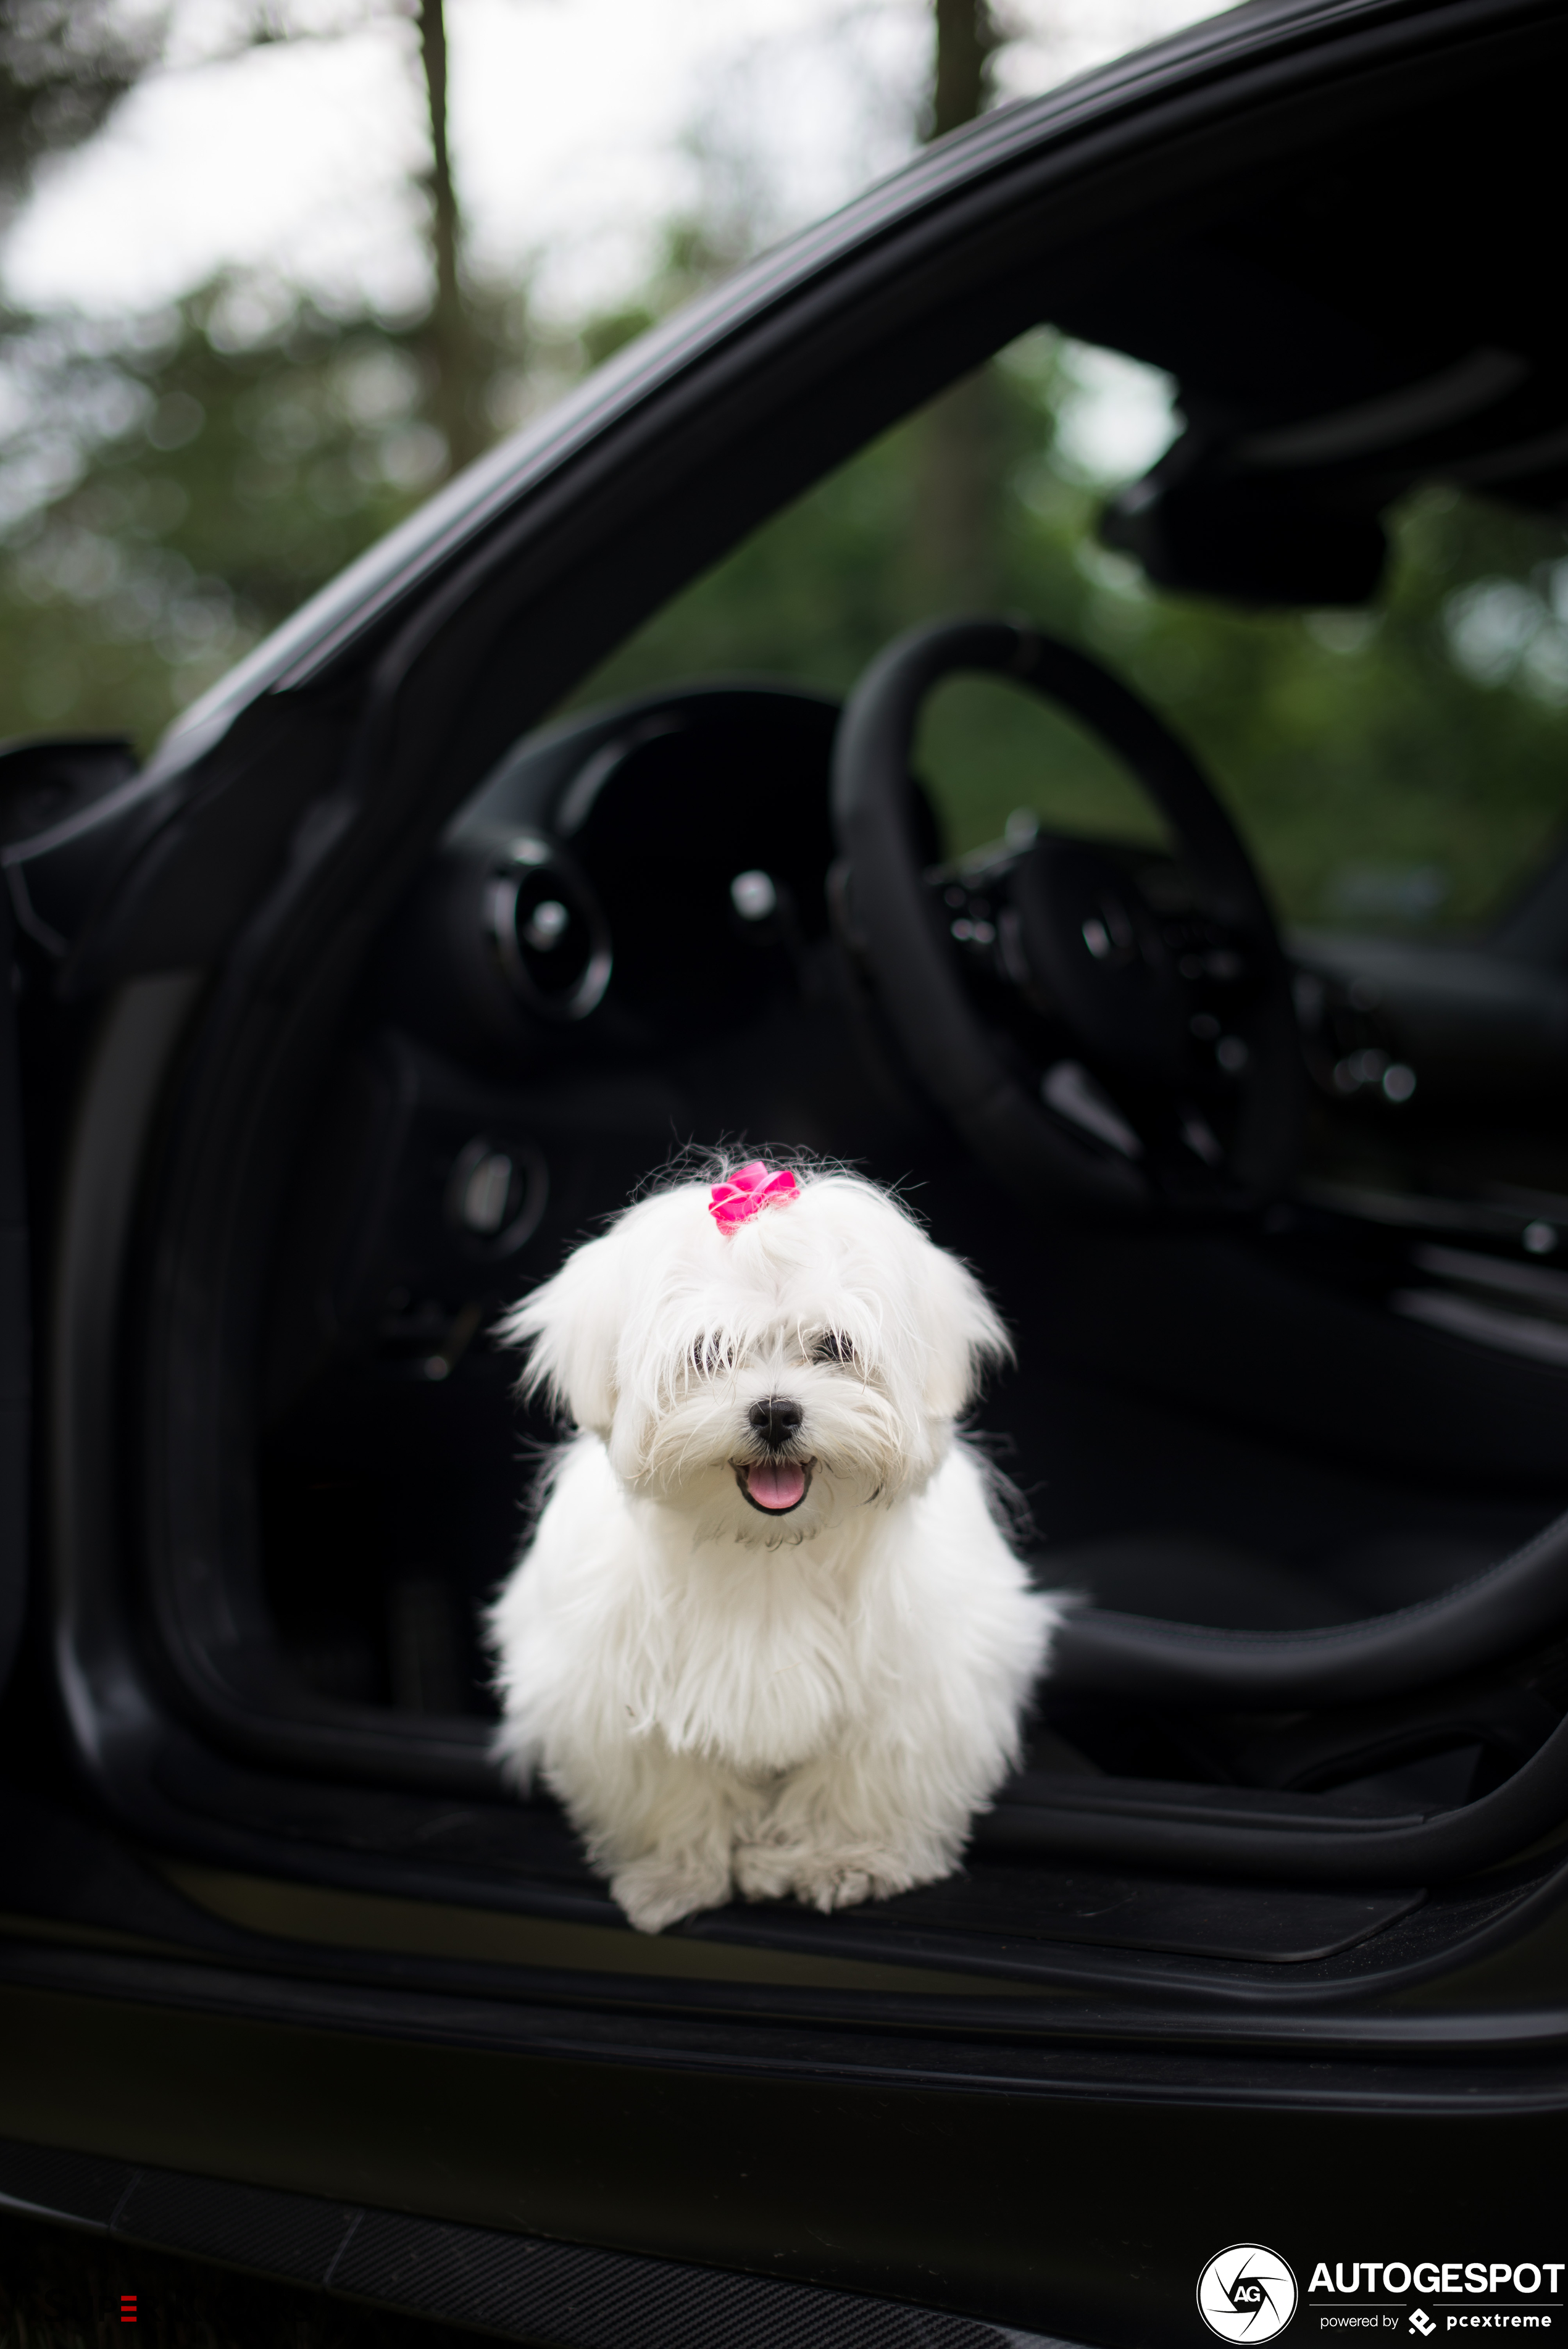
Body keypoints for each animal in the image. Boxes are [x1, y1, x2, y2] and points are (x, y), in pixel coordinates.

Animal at [483, 1165, 1061, 1935]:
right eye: (708, 1353)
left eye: (833, 1347)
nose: (776, 1411)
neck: (768, 1548)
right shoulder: (617, 1690)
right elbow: (670, 1782)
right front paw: (676, 1875)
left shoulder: (912, 1690)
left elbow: (862, 1778)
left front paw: (843, 1860)